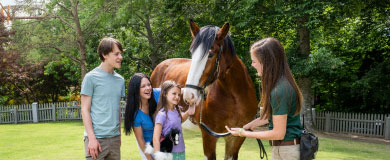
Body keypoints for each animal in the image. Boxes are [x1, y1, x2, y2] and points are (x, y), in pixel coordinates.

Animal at [151, 19, 258, 159]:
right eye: (192, 52)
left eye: (211, 54)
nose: (188, 95)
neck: (235, 98)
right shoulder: (209, 137)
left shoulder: (236, 138)